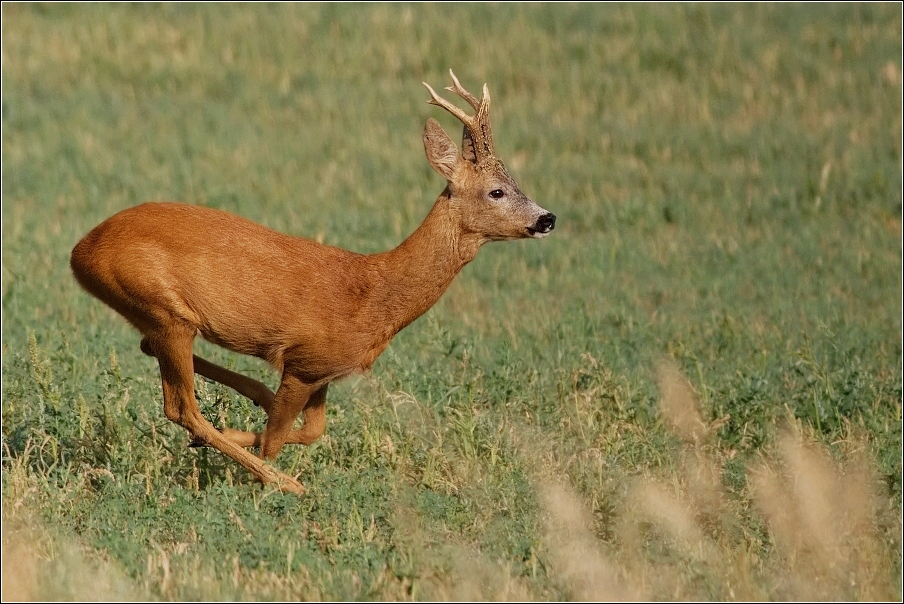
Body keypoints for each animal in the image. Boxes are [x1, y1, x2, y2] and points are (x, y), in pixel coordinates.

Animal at [70, 72, 556, 496]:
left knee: (151, 353)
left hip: (162, 316)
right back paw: (285, 482)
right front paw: (258, 479)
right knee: (181, 407)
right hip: (164, 308)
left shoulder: (325, 370)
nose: (547, 218)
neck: (377, 292)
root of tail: (79, 252)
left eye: (515, 182)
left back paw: (252, 407)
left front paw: (241, 435)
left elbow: (312, 431)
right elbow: (278, 440)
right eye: (496, 191)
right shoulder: (305, 362)